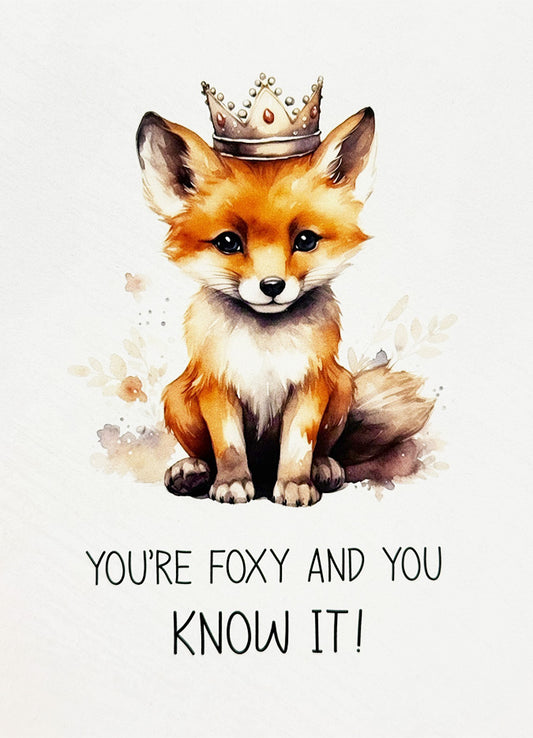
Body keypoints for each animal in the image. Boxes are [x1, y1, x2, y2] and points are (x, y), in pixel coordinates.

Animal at [136, 103, 434, 506]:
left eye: (305, 240)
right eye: (228, 242)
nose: (272, 286)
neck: (267, 345)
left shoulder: (310, 383)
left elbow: (298, 445)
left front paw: (295, 483)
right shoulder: (217, 383)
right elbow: (228, 446)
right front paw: (231, 481)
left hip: (342, 385)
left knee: (323, 449)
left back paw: (323, 468)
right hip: (177, 395)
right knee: (205, 454)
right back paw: (193, 470)